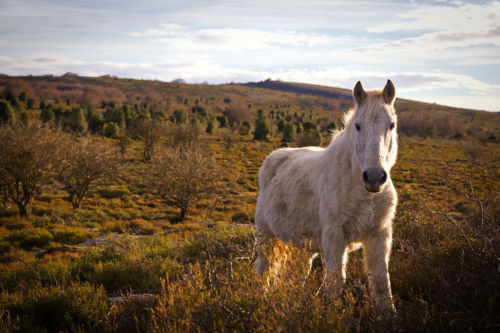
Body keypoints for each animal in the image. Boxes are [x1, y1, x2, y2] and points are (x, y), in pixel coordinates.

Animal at [256, 79, 396, 310]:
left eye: (391, 125)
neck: (361, 192)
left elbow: (381, 284)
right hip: (266, 236)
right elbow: (335, 283)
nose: (374, 177)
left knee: (296, 275)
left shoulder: (379, 235)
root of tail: (274, 157)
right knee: (264, 271)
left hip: (301, 246)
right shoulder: (334, 237)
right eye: (358, 125)